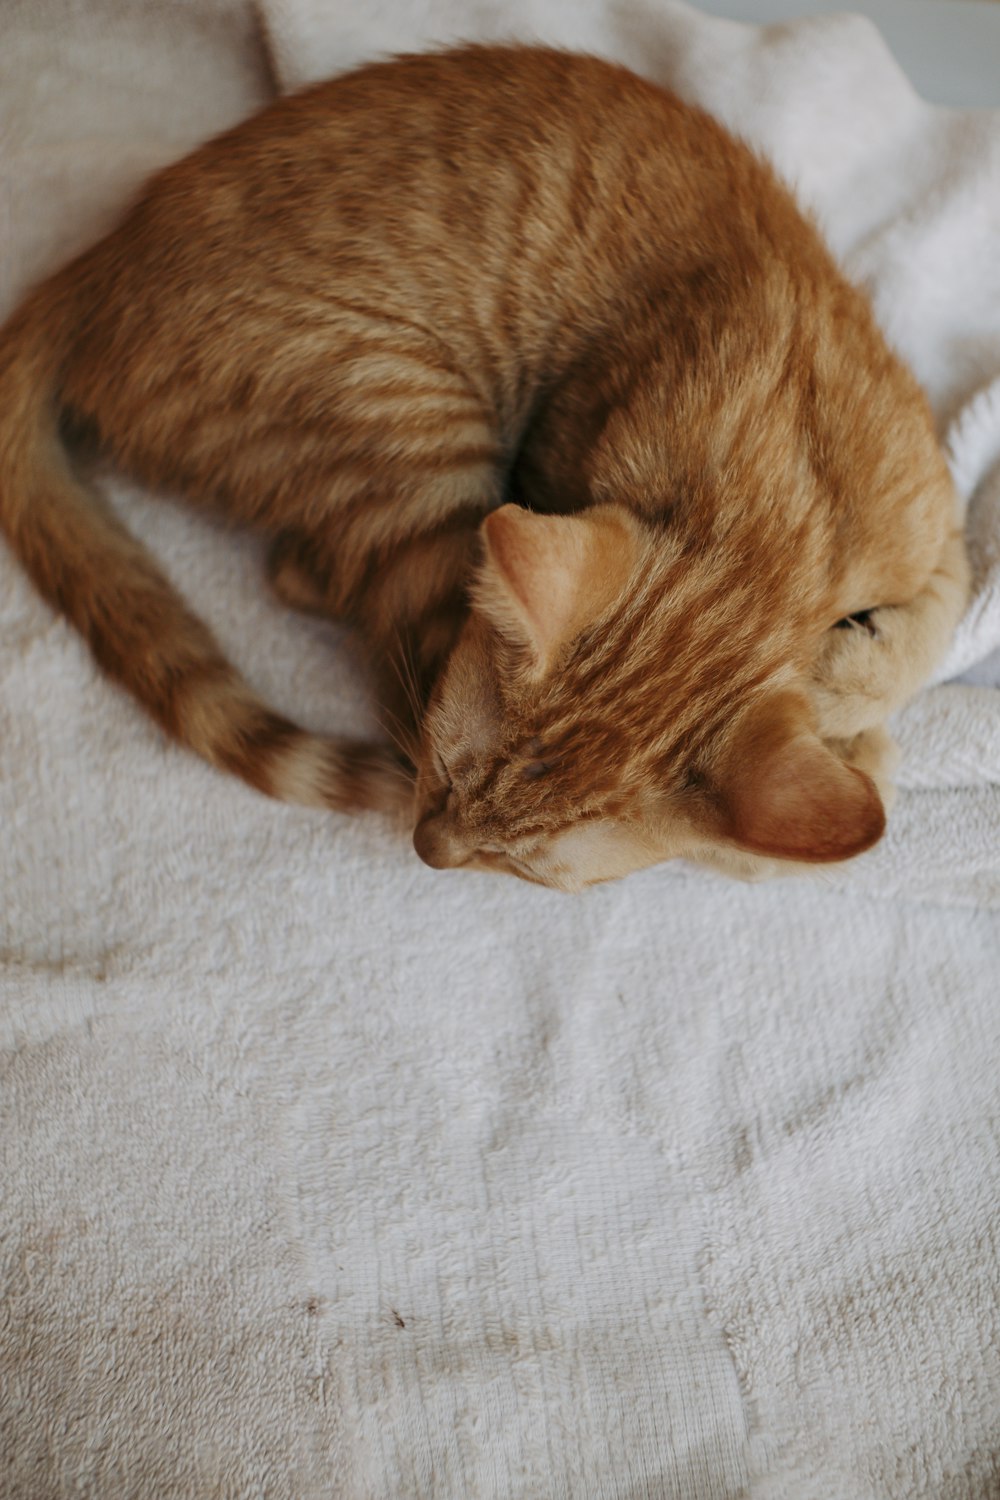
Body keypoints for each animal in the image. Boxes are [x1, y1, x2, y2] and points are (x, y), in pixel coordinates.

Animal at [0, 46, 971, 888]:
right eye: (445, 770)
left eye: (520, 868)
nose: (428, 848)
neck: (779, 486)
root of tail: (96, 269)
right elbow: (757, 850)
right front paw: (849, 732)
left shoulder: (938, 518)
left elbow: (936, 619)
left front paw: (849, 683)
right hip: (415, 427)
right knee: (345, 606)